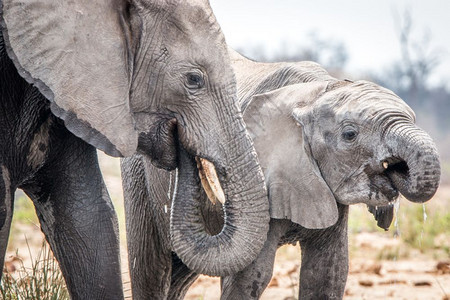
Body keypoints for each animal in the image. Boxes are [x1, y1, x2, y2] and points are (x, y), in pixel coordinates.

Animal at [122, 49, 440, 300]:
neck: (315, 92)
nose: (397, 168)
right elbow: (251, 276)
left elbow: (328, 273)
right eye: (350, 134)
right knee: (152, 270)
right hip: (139, 176)